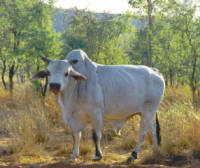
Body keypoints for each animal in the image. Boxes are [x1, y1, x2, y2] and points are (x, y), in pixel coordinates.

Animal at [32, 49, 164, 162]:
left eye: (66, 73)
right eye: (48, 72)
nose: (54, 85)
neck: (76, 86)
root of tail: (155, 71)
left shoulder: (96, 113)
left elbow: (96, 136)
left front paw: (98, 155)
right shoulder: (73, 117)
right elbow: (76, 135)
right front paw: (74, 154)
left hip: (148, 110)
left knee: (143, 132)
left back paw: (133, 155)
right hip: (147, 113)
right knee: (153, 129)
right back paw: (156, 150)